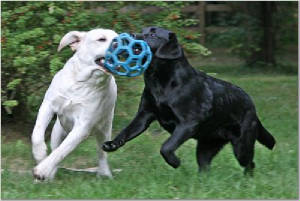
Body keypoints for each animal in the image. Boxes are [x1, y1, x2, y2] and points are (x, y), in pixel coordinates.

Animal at [31, 28, 118, 181]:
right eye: (102, 39)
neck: (81, 83)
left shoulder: (82, 127)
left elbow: (61, 151)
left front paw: (42, 169)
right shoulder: (48, 105)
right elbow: (37, 132)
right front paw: (40, 154)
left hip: (104, 131)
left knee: (101, 154)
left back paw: (104, 174)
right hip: (57, 131)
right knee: (55, 147)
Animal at [102, 26, 274, 174]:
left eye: (152, 34)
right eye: (142, 30)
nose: (129, 35)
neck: (160, 80)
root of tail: (252, 105)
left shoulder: (188, 122)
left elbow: (166, 146)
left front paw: (175, 162)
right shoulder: (144, 115)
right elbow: (127, 131)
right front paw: (112, 144)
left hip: (242, 145)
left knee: (250, 163)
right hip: (206, 146)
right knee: (205, 166)